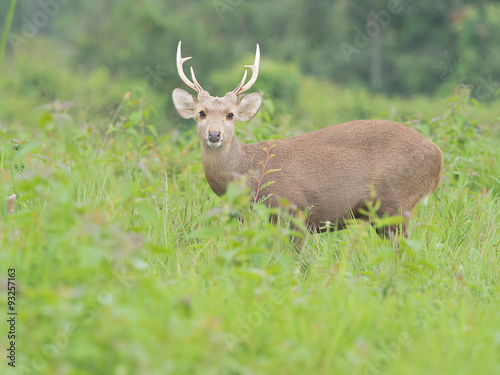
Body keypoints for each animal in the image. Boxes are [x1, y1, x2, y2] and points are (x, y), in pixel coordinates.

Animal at [172, 41, 442, 247]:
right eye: (201, 113)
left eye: (230, 115)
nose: (214, 134)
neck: (249, 170)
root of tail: (438, 157)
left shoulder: (293, 208)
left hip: (396, 202)